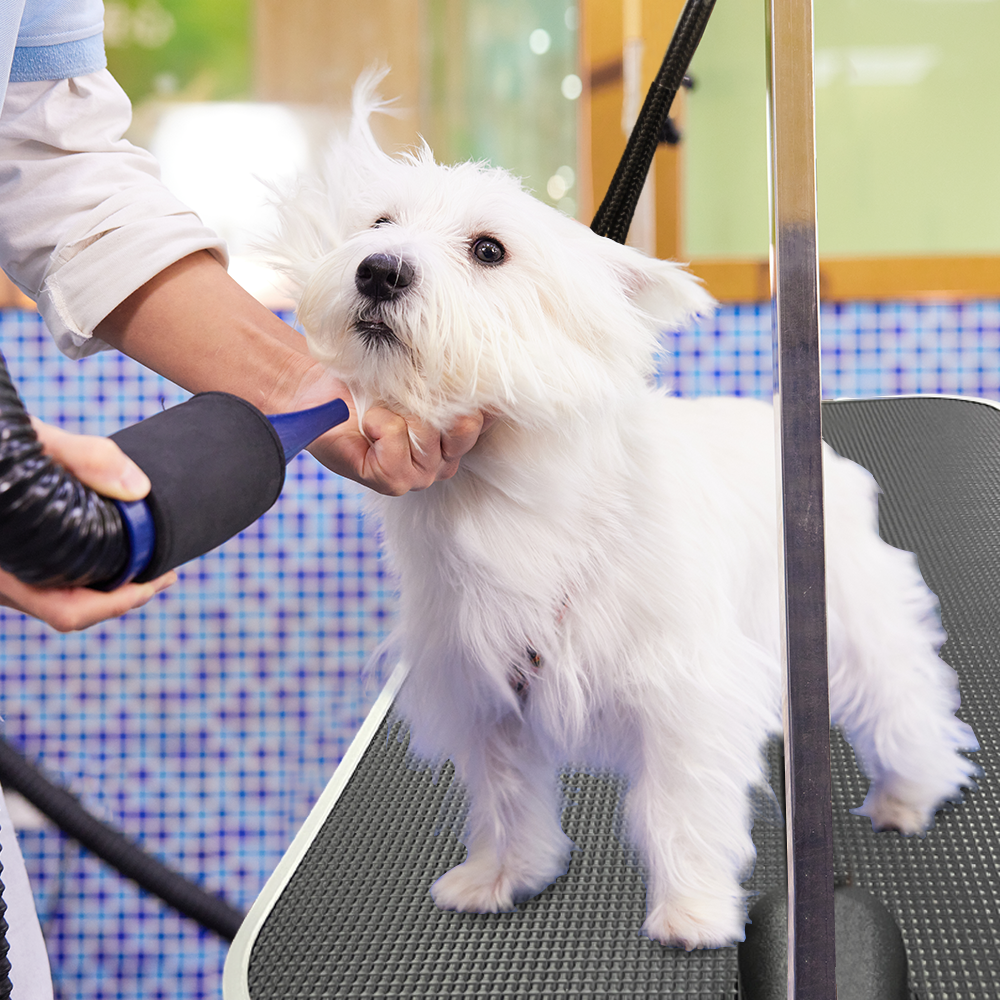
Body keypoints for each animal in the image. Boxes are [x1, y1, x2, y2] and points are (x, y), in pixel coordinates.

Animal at [266, 74, 976, 948]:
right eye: (379, 225)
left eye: (488, 250)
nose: (379, 271)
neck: (500, 494)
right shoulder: (486, 693)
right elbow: (506, 799)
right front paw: (502, 878)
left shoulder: (684, 690)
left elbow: (681, 809)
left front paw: (693, 913)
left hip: (848, 617)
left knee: (906, 702)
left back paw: (912, 794)